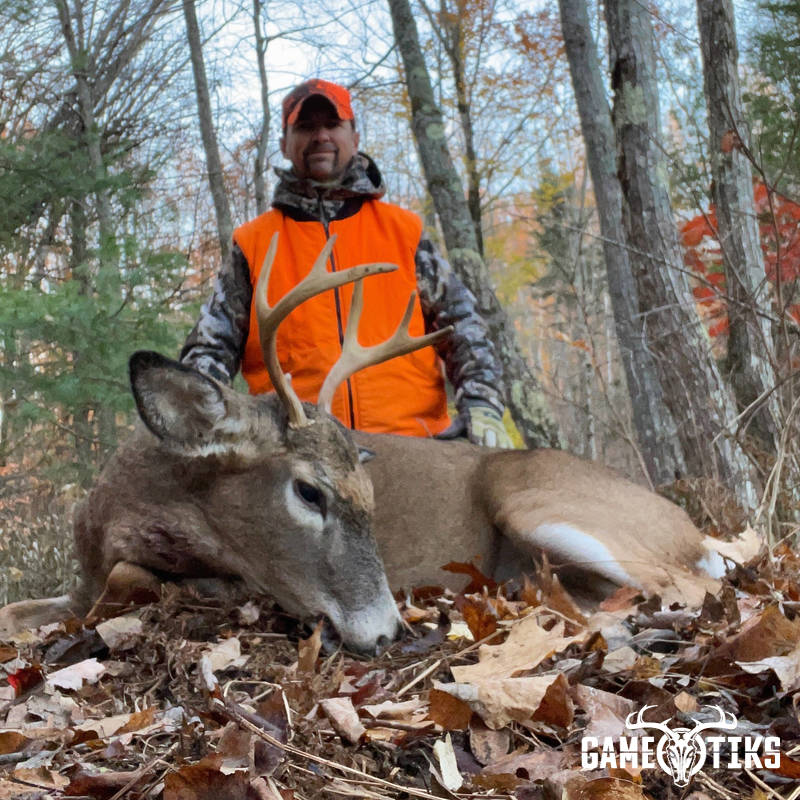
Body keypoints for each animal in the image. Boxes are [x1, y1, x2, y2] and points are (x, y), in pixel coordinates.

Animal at [0, 235, 731, 653]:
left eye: (371, 496)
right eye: (308, 490)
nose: (385, 632)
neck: (118, 515)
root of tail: (691, 530)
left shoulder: (239, 580)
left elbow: (133, 581)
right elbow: (20, 607)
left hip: (538, 501)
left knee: (687, 586)